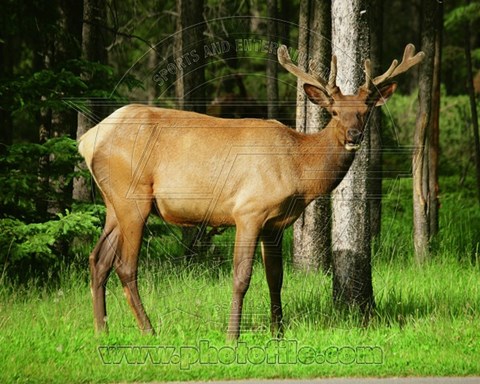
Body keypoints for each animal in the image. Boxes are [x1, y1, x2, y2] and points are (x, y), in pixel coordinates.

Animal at [79, 44, 424, 340]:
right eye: (335, 112)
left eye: (365, 110)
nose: (353, 135)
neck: (299, 168)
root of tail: (88, 139)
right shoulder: (248, 211)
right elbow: (242, 276)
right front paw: (233, 335)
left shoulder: (275, 224)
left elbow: (276, 277)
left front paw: (278, 332)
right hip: (132, 198)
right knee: (125, 266)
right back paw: (148, 330)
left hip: (113, 204)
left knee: (98, 259)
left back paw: (101, 330)